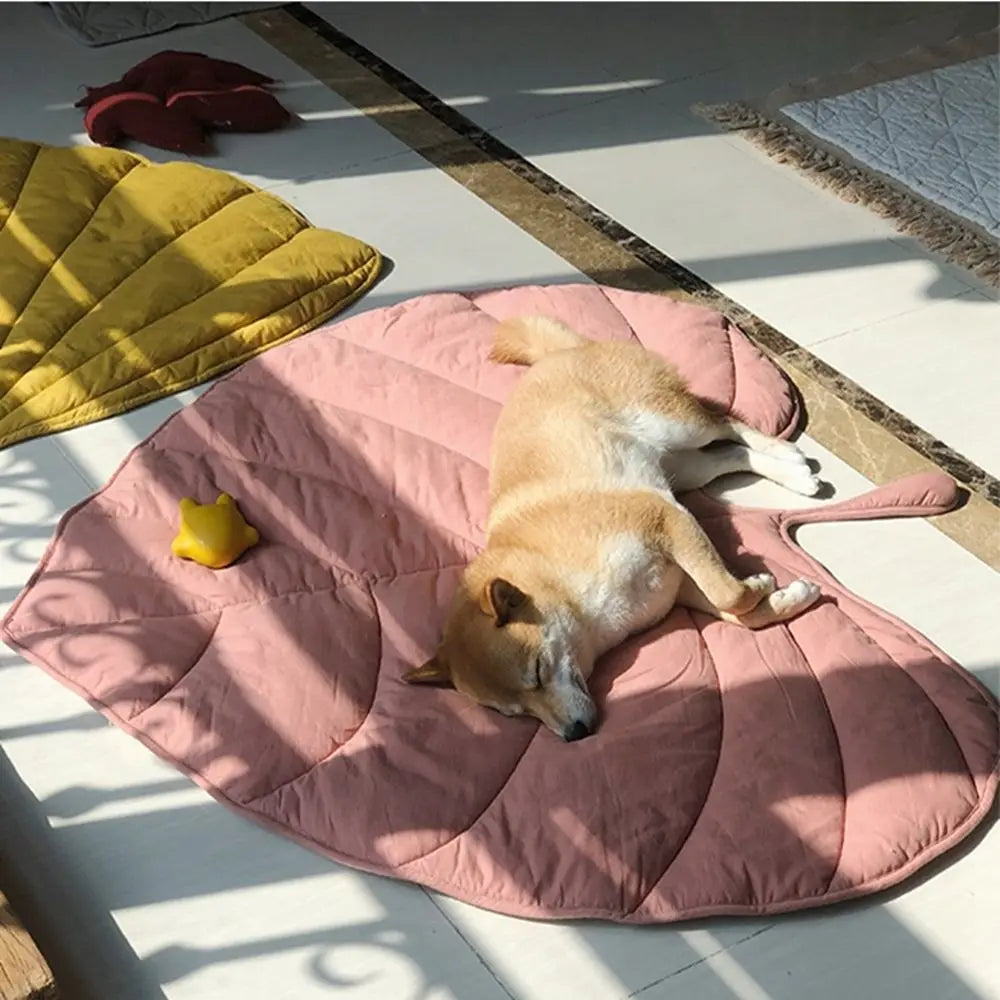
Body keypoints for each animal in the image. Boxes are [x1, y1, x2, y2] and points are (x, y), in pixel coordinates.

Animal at [406, 316, 820, 740]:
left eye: (537, 671)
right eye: (515, 713)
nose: (573, 734)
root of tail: (557, 356)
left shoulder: (662, 518)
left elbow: (729, 595)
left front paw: (761, 587)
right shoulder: (678, 585)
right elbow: (743, 613)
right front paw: (785, 596)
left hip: (678, 426)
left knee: (728, 425)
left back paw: (786, 453)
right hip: (683, 468)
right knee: (730, 456)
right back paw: (791, 474)